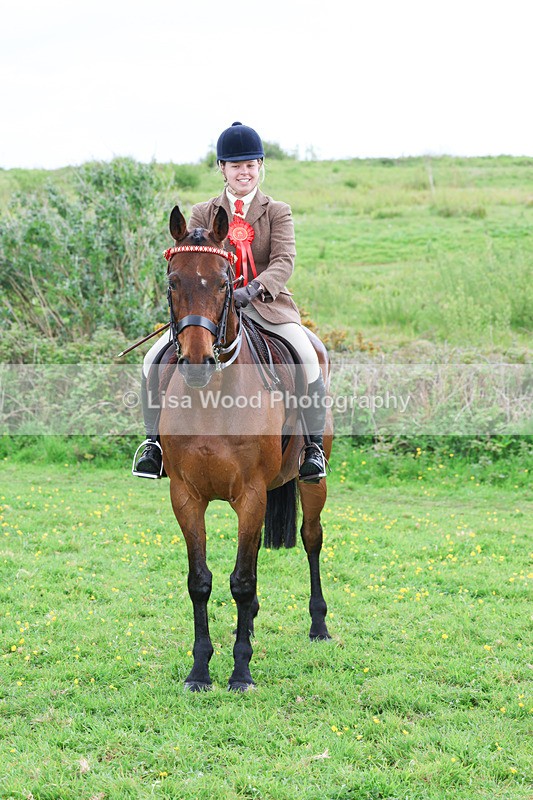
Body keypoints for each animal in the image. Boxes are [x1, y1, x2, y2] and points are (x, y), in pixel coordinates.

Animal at [158, 205, 333, 691]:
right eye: (172, 282)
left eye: (224, 282)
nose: (197, 364)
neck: (213, 399)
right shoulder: (186, 496)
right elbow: (201, 581)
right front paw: (200, 670)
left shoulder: (251, 494)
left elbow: (242, 581)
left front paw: (240, 672)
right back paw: (251, 625)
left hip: (311, 483)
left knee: (311, 538)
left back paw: (319, 626)